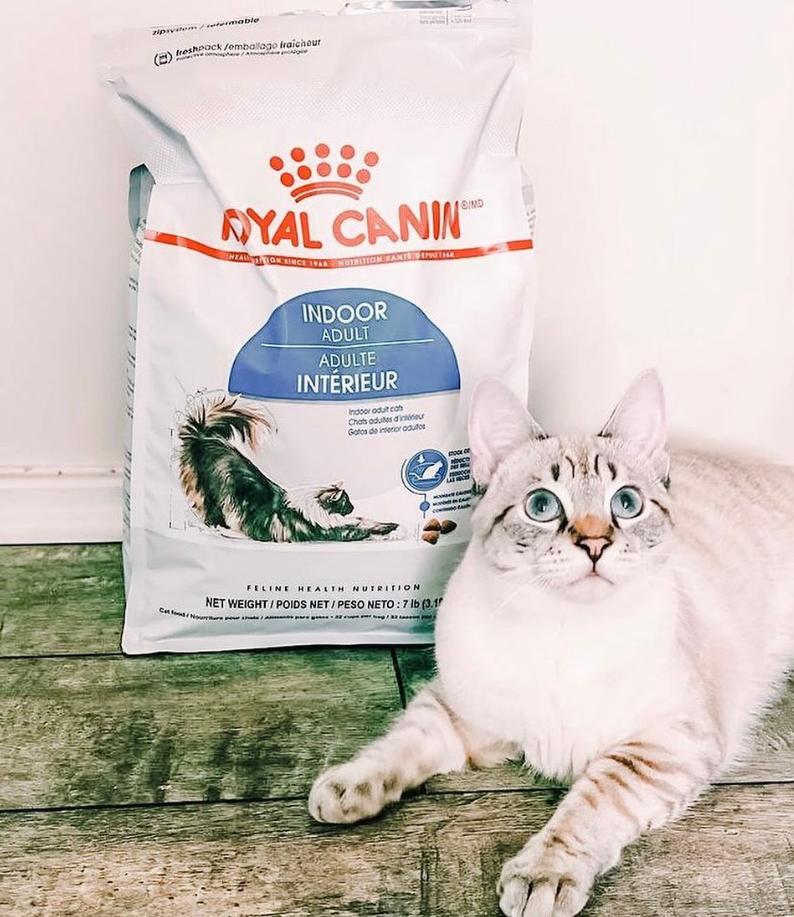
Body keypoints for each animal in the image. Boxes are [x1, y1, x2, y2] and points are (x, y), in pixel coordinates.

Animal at [178, 394, 399, 542]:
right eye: (346, 501)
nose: (353, 507)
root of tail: (204, 436)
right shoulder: (327, 529)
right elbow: (360, 527)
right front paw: (393, 528)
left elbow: (363, 521)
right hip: (208, 492)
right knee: (210, 513)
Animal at [308, 370, 794, 917]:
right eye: (542, 507)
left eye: (626, 504)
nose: (595, 543)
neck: (565, 632)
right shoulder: (457, 711)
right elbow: (399, 745)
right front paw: (346, 788)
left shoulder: (663, 743)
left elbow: (588, 803)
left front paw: (544, 874)